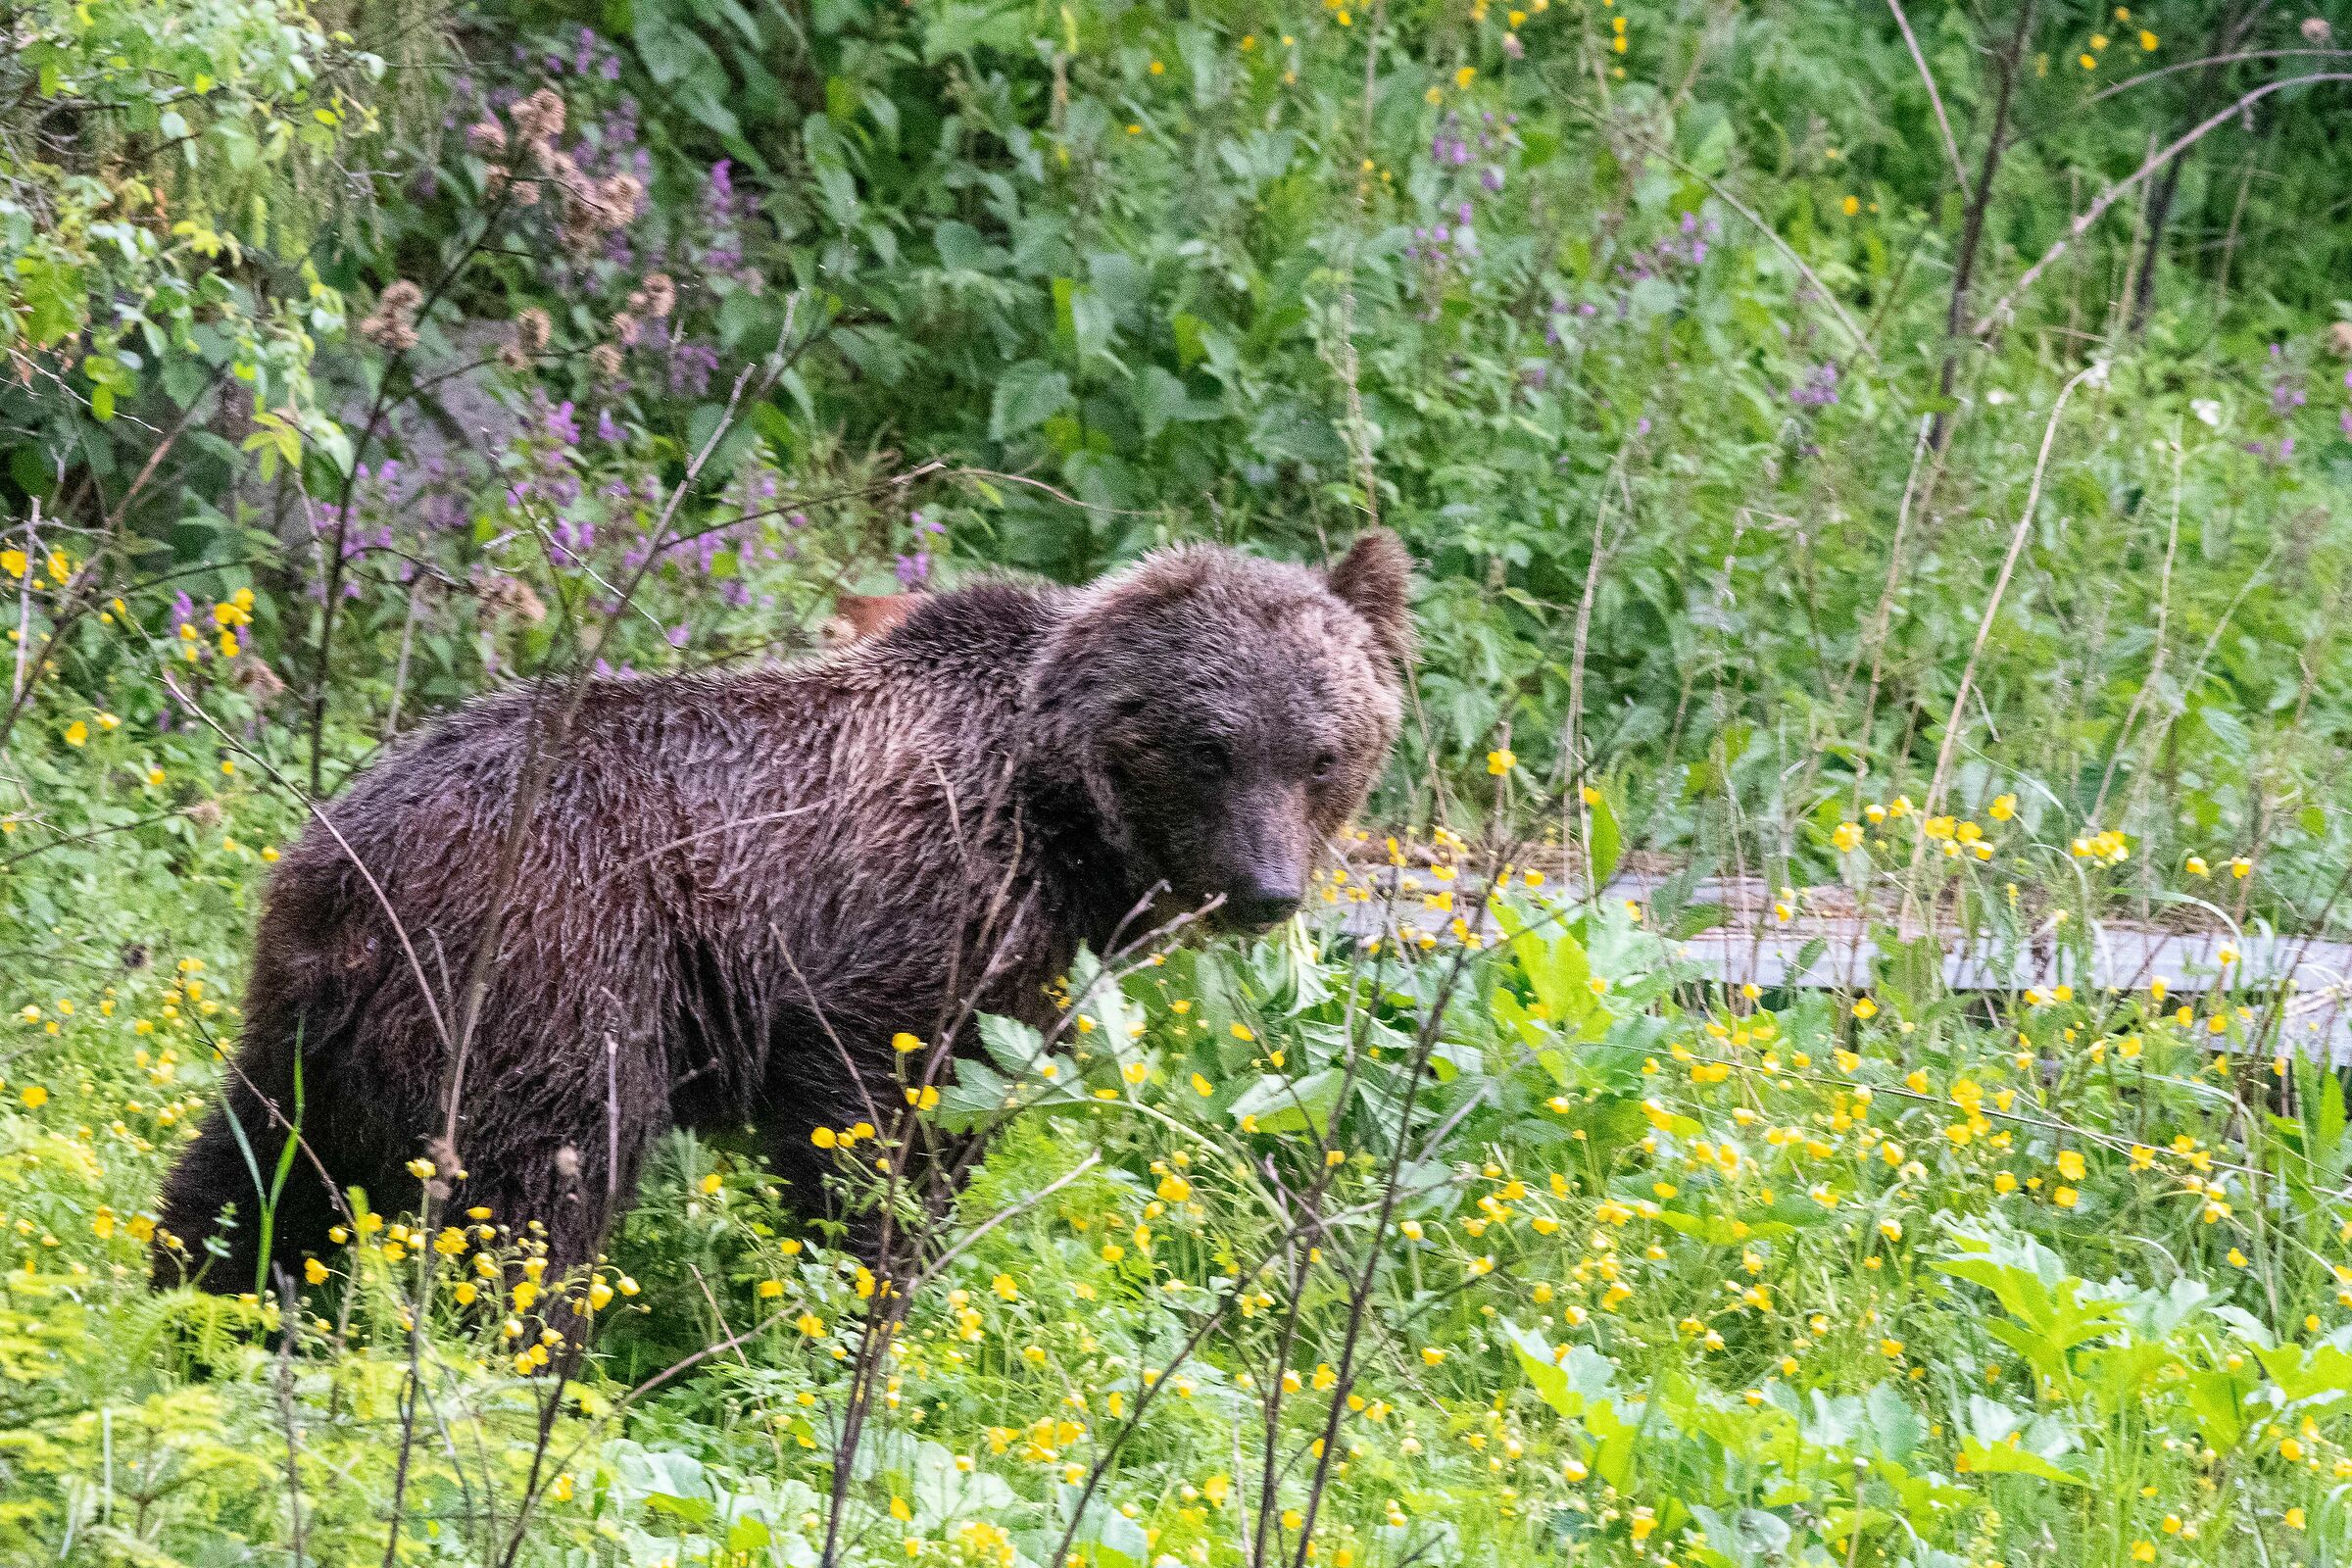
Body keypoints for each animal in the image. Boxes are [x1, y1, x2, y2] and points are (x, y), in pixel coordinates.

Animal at [153, 530, 1413, 1293]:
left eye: (1322, 753)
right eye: (1213, 747)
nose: (1267, 889)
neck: (1058, 816)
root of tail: (346, 854)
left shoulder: (1025, 964)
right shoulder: (909, 917)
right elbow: (880, 1125)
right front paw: (873, 1284)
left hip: (316, 1014)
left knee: (255, 1165)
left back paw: (203, 1299)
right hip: (553, 965)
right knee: (541, 1180)